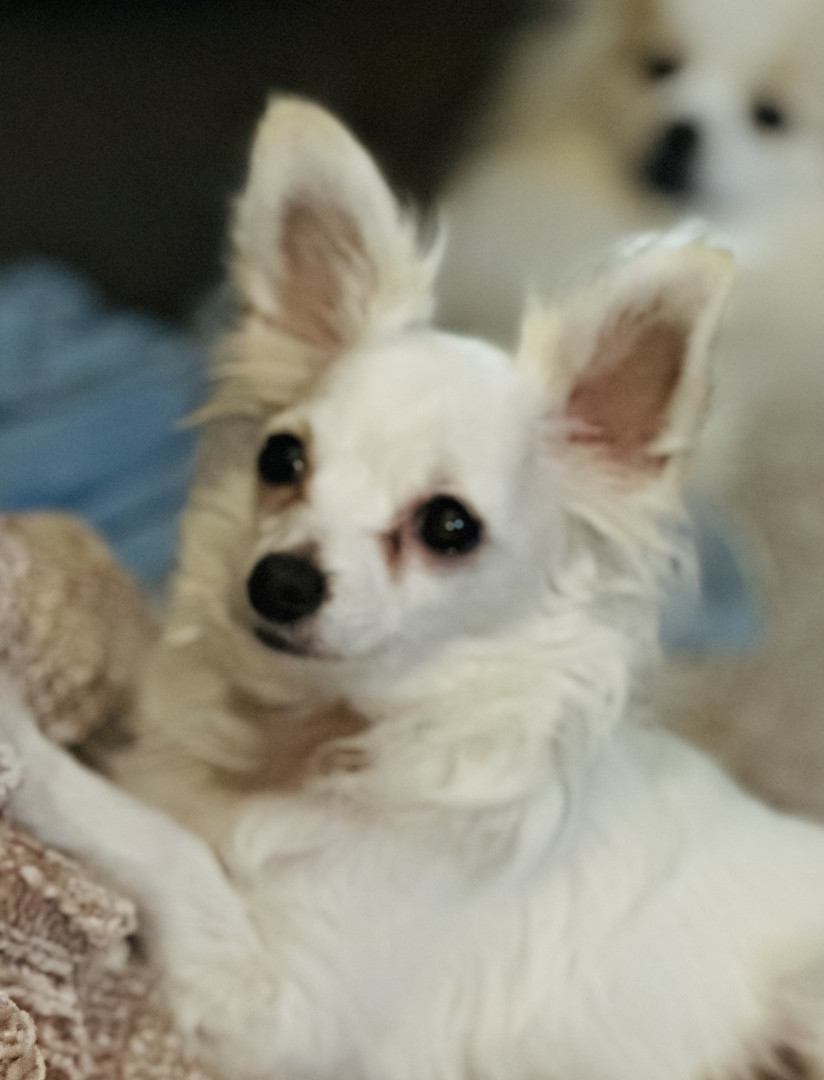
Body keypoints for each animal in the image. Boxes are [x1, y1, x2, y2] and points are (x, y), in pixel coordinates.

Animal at [9, 99, 824, 1080]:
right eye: (281, 459)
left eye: (448, 527)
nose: (277, 580)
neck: (312, 736)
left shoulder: (281, 1017)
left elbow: (168, 848)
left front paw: (26, 750)